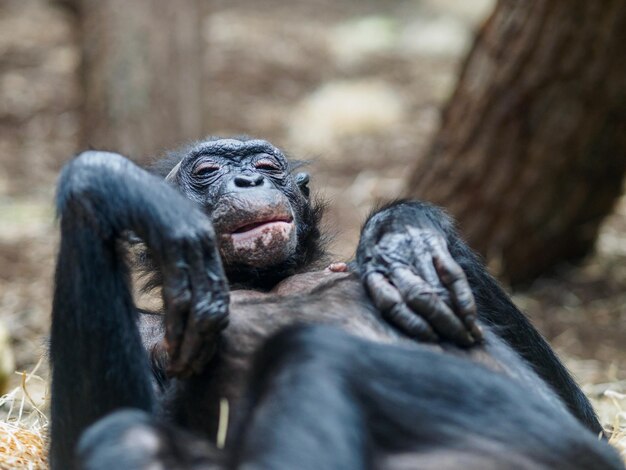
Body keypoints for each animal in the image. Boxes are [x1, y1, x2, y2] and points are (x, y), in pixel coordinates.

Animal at [50, 137, 624, 470]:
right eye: (207, 170)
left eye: (266, 164)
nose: (248, 179)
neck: (264, 282)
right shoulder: (152, 334)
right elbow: (85, 436)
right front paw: (112, 183)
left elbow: (587, 415)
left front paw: (403, 232)